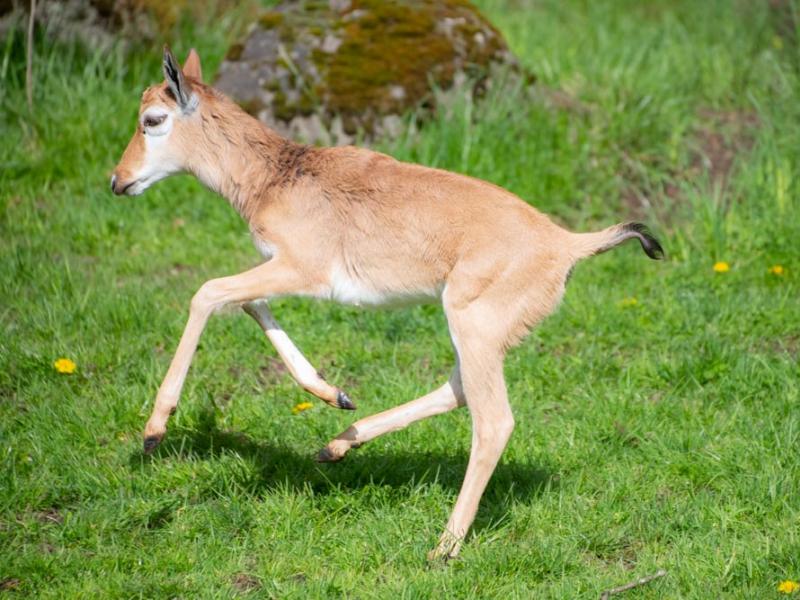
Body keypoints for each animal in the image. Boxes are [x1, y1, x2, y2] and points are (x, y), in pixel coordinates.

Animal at [111, 48, 664, 564]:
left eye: (152, 119)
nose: (118, 180)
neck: (278, 177)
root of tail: (567, 244)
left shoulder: (302, 271)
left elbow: (206, 291)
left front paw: (154, 431)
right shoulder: (276, 270)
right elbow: (250, 304)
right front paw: (335, 394)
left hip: (472, 326)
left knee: (493, 420)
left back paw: (443, 548)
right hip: (477, 334)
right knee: (458, 391)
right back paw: (337, 443)